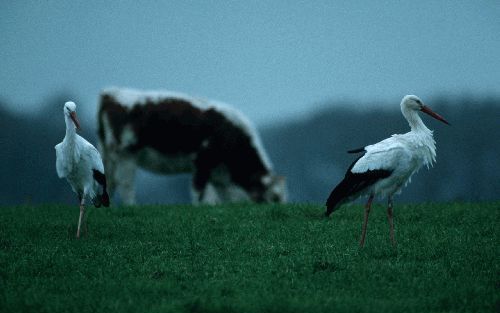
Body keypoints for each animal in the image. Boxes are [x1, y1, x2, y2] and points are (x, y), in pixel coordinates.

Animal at [97, 88, 288, 205]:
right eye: (274, 197)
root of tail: (111, 93)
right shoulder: (202, 162)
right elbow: (200, 194)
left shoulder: (220, 177)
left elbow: (225, 200)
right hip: (125, 154)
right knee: (125, 185)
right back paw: (132, 207)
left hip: (107, 154)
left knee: (109, 182)